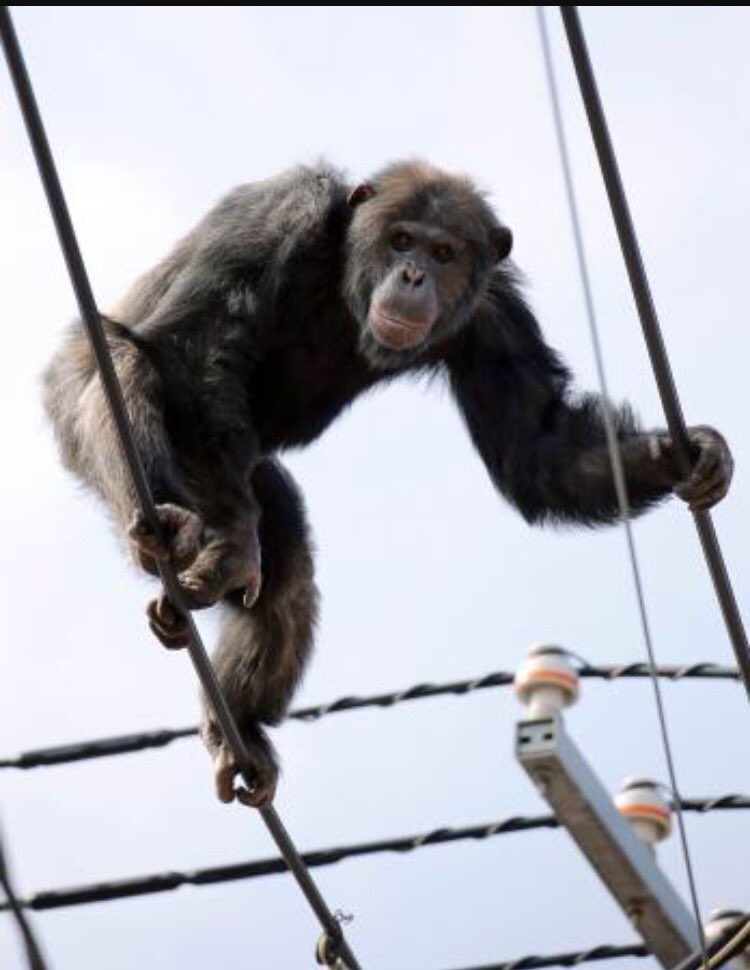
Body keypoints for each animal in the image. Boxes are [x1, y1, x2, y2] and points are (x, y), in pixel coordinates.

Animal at [43, 160, 733, 808]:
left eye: (444, 252)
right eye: (402, 239)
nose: (413, 275)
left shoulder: (494, 315)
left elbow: (538, 447)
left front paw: (681, 454)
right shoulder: (278, 212)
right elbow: (195, 347)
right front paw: (235, 547)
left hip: (242, 469)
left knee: (287, 556)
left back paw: (238, 730)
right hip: (111, 421)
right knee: (126, 365)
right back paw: (177, 531)